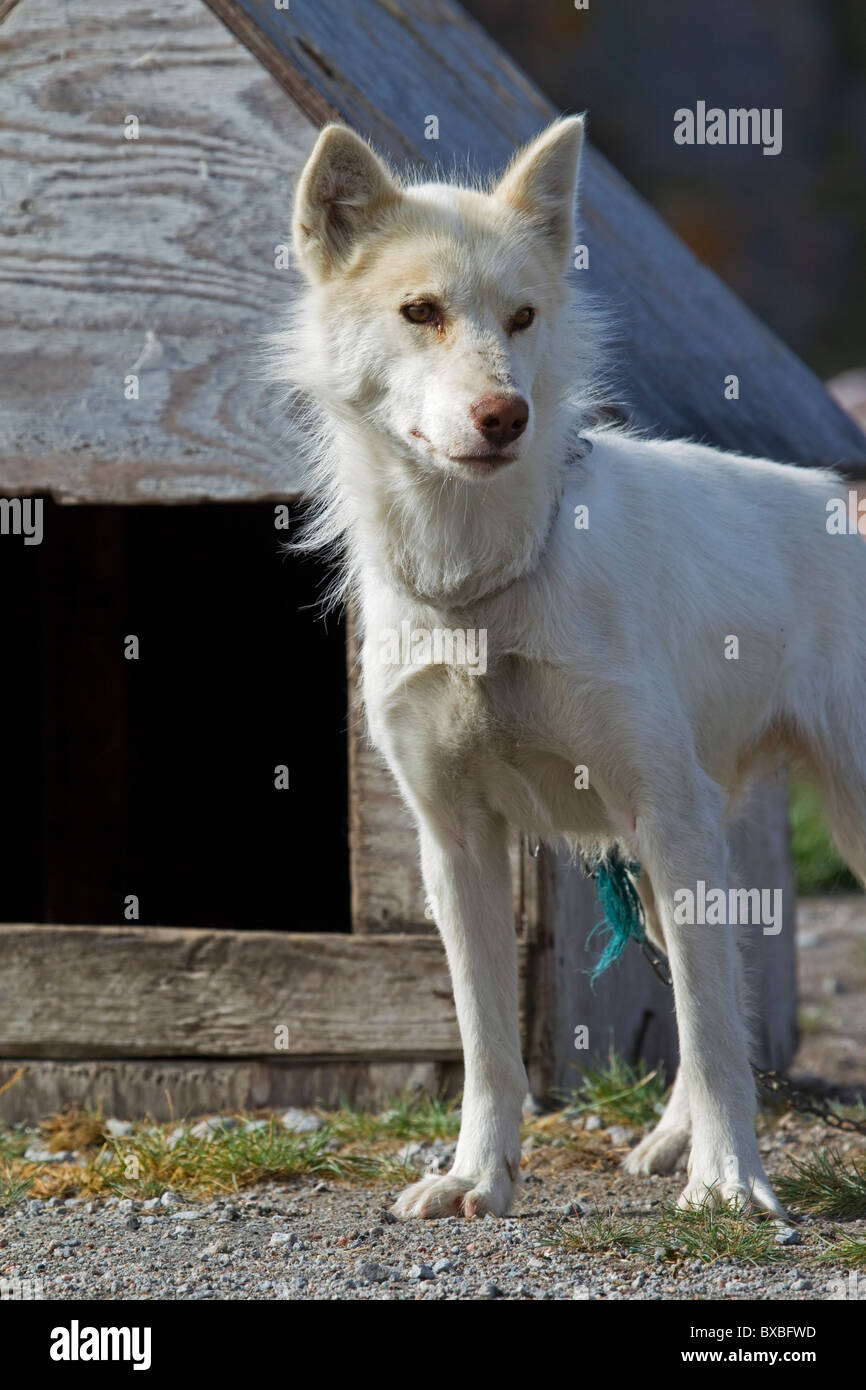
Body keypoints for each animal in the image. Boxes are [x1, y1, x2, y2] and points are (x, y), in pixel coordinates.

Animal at [279, 122, 866, 1228]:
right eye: (420, 312)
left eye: (522, 317)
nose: (502, 415)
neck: (481, 585)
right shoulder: (457, 843)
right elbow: (487, 1047)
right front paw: (478, 1173)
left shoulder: (665, 813)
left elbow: (713, 1034)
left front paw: (731, 1182)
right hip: (665, 856)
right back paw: (667, 1138)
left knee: (714, 1004)